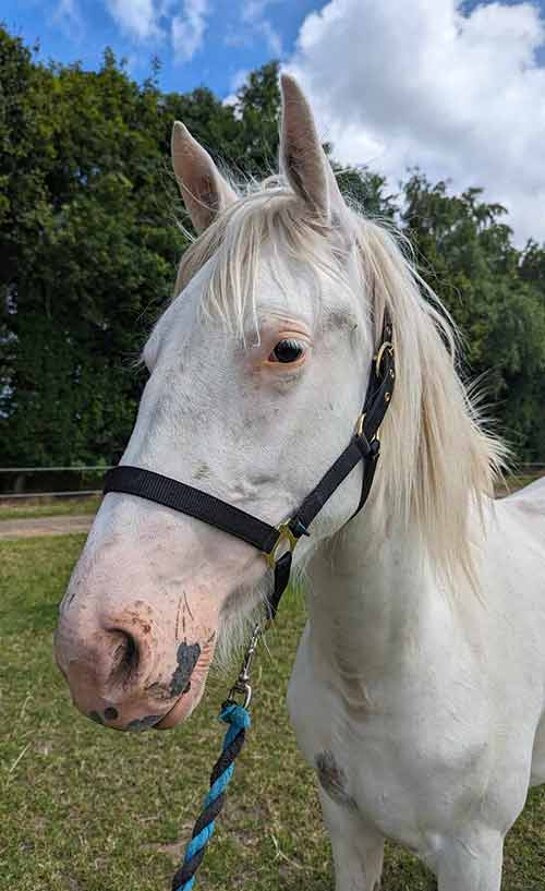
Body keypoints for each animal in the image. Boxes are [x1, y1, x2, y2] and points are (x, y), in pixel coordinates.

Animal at [54, 73, 544, 888]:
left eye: (285, 349)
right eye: (152, 360)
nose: (96, 653)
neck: (388, 665)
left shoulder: (474, 853)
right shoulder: (346, 826)